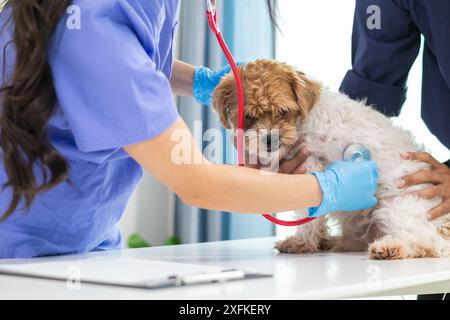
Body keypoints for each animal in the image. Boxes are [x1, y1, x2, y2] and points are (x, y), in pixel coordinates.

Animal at [212, 60, 450, 260]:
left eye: (283, 111)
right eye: (248, 116)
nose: (270, 139)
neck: (304, 126)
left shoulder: (311, 171)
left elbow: (308, 217)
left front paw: (301, 242)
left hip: (399, 208)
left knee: (426, 242)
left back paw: (391, 247)